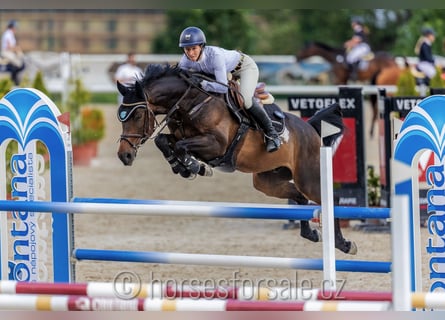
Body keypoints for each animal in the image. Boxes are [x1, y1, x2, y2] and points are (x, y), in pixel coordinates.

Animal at [116, 63, 356, 256]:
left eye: (138, 115)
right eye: (121, 116)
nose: (124, 155)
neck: (192, 102)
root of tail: (310, 129)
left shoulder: (216, 144)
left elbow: (181, 146)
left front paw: (194, 167)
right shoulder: (180, 136)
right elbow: (164, 141)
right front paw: (182, 166)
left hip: (308, 177)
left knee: (328, 200)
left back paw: (344, 244)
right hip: (267, 181)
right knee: (299, 197)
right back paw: (310, 234)